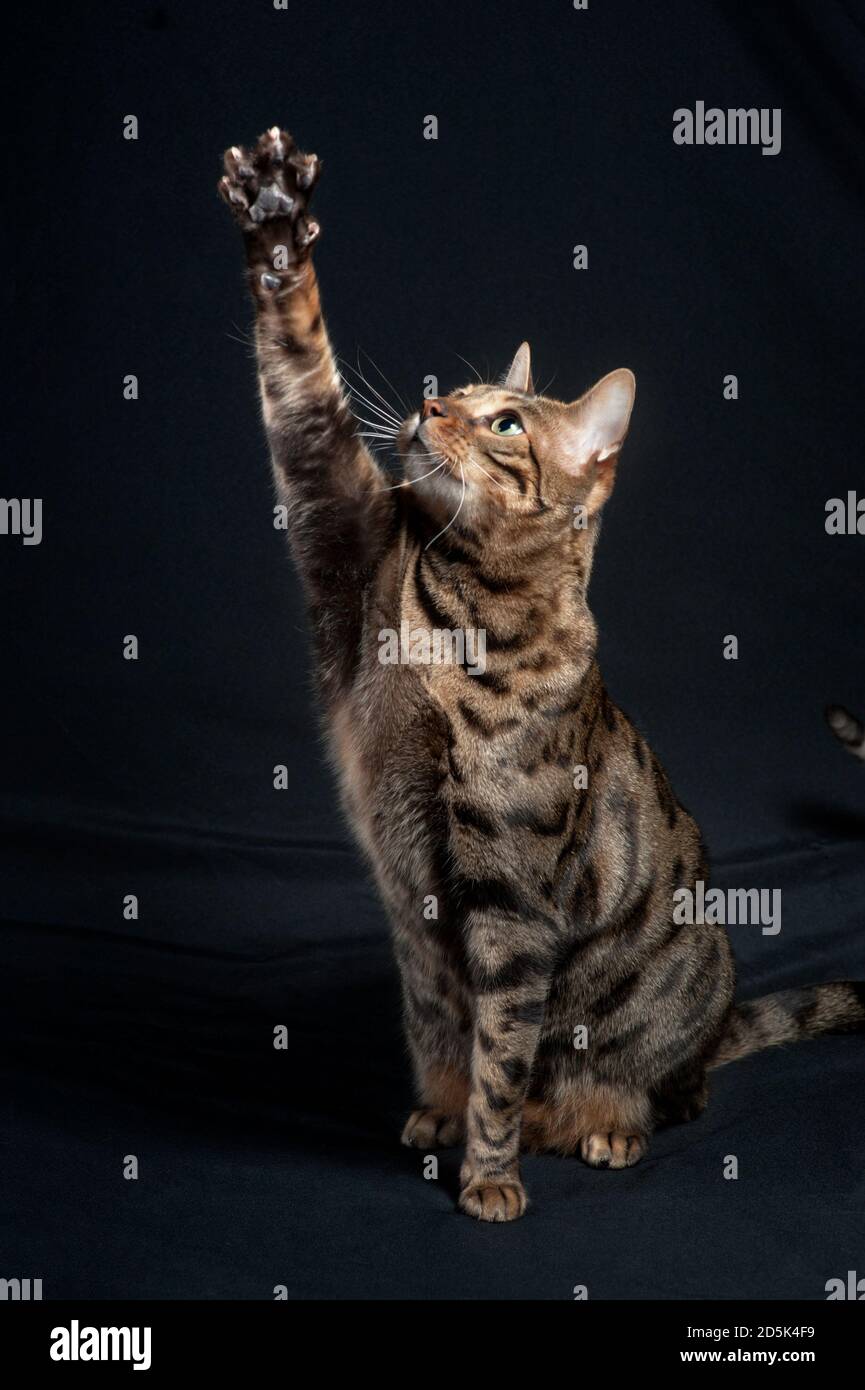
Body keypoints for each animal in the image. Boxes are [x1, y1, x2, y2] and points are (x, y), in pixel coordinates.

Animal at [218, 127, 865, 1217]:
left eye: (506, 423)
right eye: (454, 393)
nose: (429, 401)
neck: (461, 611)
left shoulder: (511, 903)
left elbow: (502, 1056)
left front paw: (488, 1175)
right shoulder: (336, 521)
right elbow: (300, 370)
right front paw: (273, 219)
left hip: (691, 970)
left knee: (666, 1085)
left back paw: (604, 1123)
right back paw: (442, 1112)